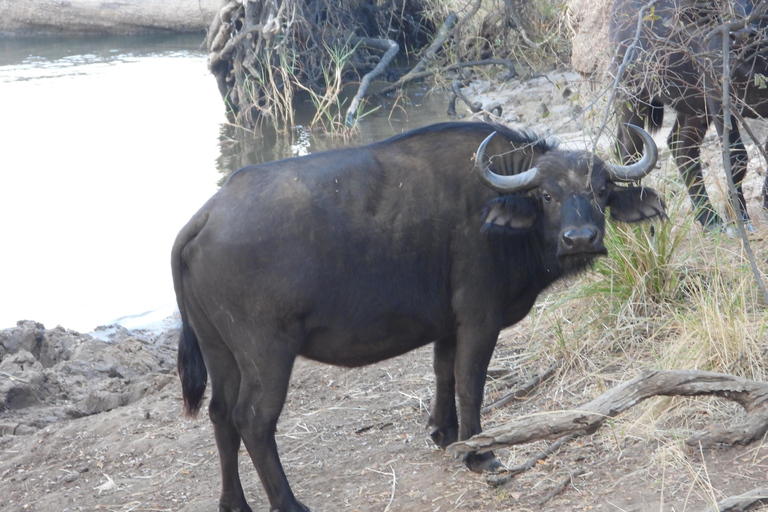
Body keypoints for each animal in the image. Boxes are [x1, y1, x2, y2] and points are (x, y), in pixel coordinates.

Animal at [171, 121, 664, 512]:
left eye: (601, 191)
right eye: (547, 194)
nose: (581, 239)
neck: (494, 206)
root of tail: (205, 216)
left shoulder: (448, 324)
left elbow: (443, 371)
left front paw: (445, 434)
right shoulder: (479, 319)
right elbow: (469, 383)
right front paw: (479, 453)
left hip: (219, 350)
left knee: (220, 415)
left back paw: (233, 503)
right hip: (266, 352)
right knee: (253, 420)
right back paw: (288, 503)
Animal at [612, 0, 768, 228]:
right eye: (722, 7)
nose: (741, 35)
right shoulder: (718, 97)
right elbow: (736, 156)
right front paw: (739, 216)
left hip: (693, 106)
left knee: (681, 147)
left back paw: (709, 218)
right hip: (631, 92)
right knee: (629, 151)